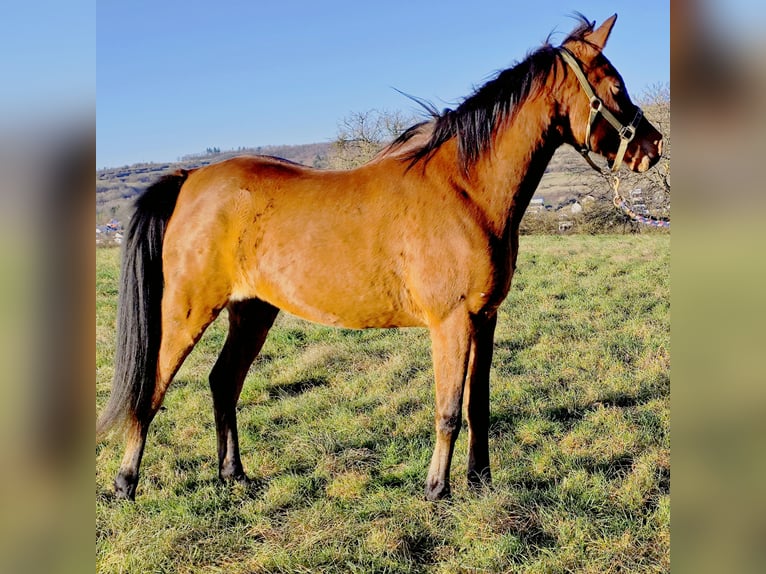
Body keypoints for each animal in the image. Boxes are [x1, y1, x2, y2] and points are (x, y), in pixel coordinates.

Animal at [97, 14, 663, 501]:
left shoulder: (485, 318)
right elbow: (449, 410)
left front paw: (479, 481)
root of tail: (189, 178)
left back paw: (233, 475)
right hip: (188, 310)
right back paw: (126, 483)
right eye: (615, 87)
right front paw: (437, 490)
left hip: (252, 310)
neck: (466, 189)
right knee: (153, 386)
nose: (652, 148)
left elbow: (478, 404)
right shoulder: (452, 321)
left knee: (224, 382)